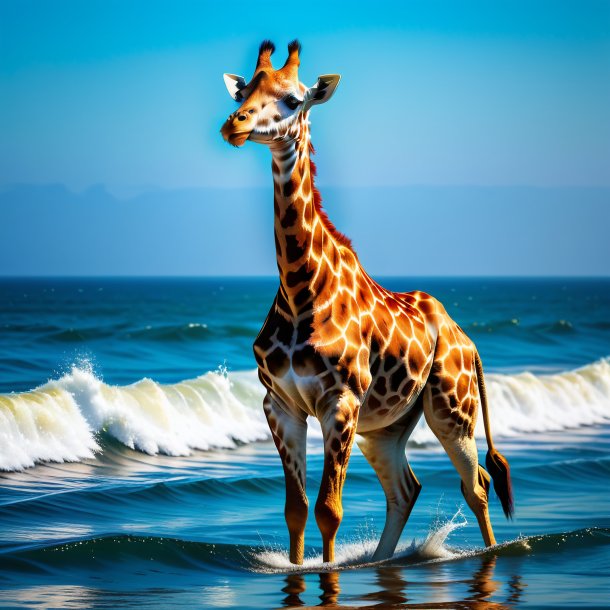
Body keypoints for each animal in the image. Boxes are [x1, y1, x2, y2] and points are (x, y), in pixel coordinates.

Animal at [220, 40, 512, 564]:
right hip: (386, 426)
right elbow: (296, 511)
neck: (299, 291)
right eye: (246, 90)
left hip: (451, 409)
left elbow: (328, 510)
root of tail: (467, 340)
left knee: (476, 484)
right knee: (406, 488)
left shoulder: (341, 401)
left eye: (292, 99)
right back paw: (380, 562)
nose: (235, 124)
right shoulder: (280, 404)